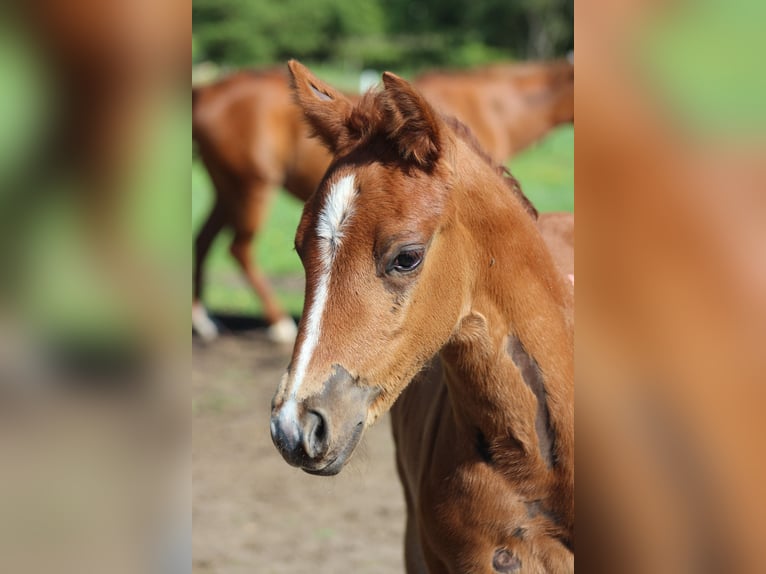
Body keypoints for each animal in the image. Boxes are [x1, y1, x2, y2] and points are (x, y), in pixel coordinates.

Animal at [191, 60, 573, 343]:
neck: (492, 106)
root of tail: (207, 91)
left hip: (227, 188)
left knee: (203, 240)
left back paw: (204, 320)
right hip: (251, 187)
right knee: (239, 248)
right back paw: (278, 324)